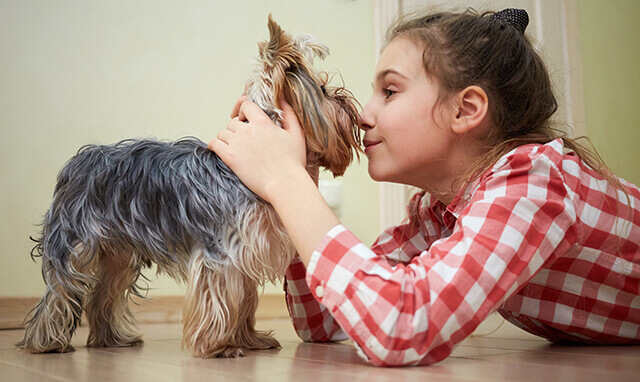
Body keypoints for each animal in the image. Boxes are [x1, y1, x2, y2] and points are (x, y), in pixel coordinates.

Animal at [17, 16, 360, 358]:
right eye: (324, 89)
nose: (347, 99)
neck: (248, 169)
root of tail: (77, 163)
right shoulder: (220, 252)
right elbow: (220, 298)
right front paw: (220, 346)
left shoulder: (244, 250)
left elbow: (245, 300)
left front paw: (249, 339)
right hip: (76, 241)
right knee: (60, 290)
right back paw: (46, 343)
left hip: (118, 251)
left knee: (105, 292)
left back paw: (112, 339)